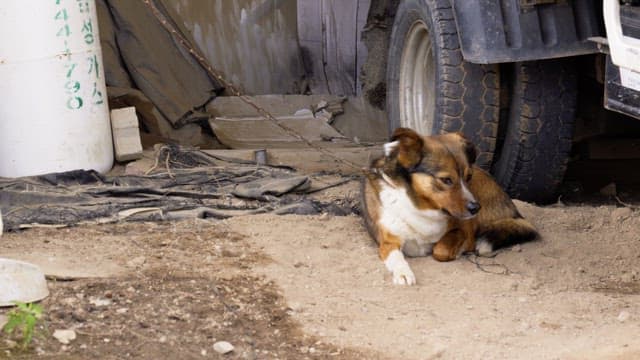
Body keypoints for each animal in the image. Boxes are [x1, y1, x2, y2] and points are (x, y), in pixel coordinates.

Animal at [362, 128, 536, 286]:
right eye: (446, 180)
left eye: (468, 177)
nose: (476, 208)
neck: (422, 208)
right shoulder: (388, 242)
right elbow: (396, 257)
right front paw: (403, 273)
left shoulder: (462, 230)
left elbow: (440, 250)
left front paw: (456, 252)